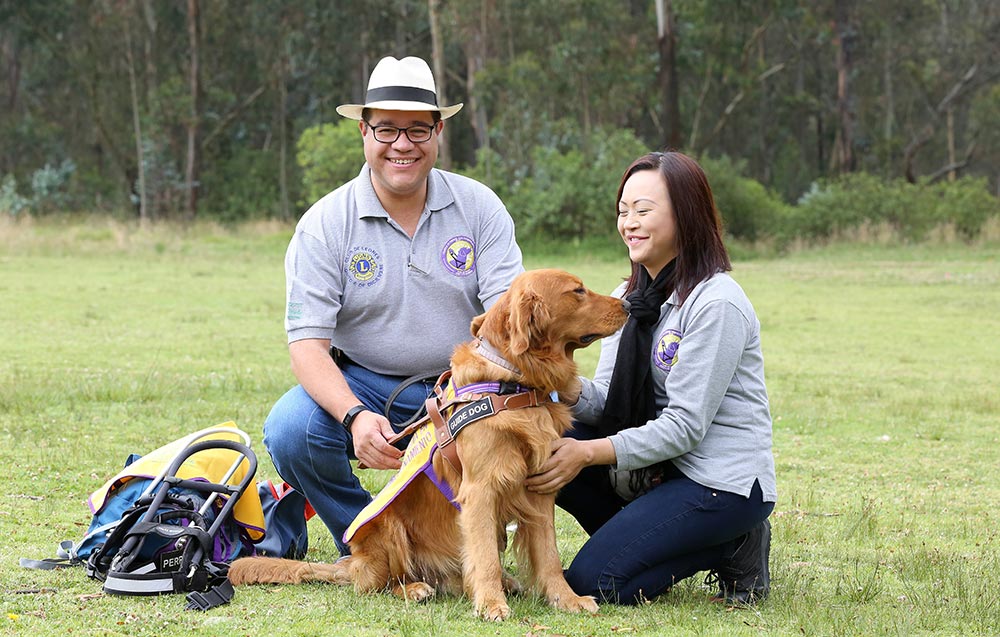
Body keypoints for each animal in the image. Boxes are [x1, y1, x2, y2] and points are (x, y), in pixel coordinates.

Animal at [230, 268, 628, 620]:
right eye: (578, 291)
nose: (627, 304)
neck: (512, 383)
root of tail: (352, 561)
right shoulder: (480, 490)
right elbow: (484, 556)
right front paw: (491, 604)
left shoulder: (540, 489)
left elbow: (549, 557)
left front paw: (566, 599)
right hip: (387, 527)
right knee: (378, 584)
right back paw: (415, 588)